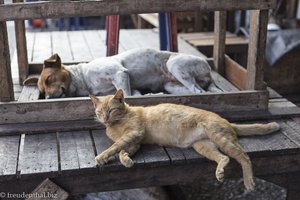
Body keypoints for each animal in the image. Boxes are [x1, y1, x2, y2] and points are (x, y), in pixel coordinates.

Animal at [90, 90, 280, 190]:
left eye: (111, 110)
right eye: (99, 112)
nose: (104, 118)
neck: (115, 123)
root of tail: (226, 121)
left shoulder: (134, 133)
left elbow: (116, 146)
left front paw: (101, 157)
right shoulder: (135, 142)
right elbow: (123, 150)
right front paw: (126, 161)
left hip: (220, 138)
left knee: (244, 156)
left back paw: (249, 182)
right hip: (203, 146)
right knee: (224, 158)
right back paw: (219, 172)